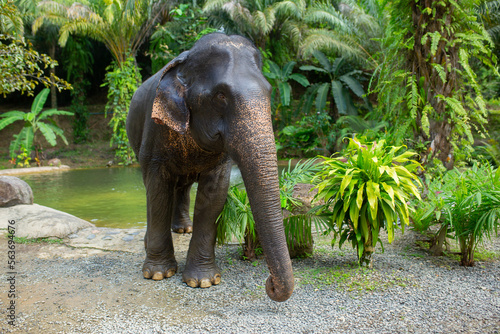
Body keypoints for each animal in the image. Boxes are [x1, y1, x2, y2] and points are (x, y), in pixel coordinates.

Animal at [126, 32, 292, 302]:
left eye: (269, 92)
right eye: (221, 96)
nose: (270, 285)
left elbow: (213, 196)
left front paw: (203, 281)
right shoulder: (155, 132)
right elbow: (158, 190)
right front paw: (158, 274)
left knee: (182, 186)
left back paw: (184, 229)